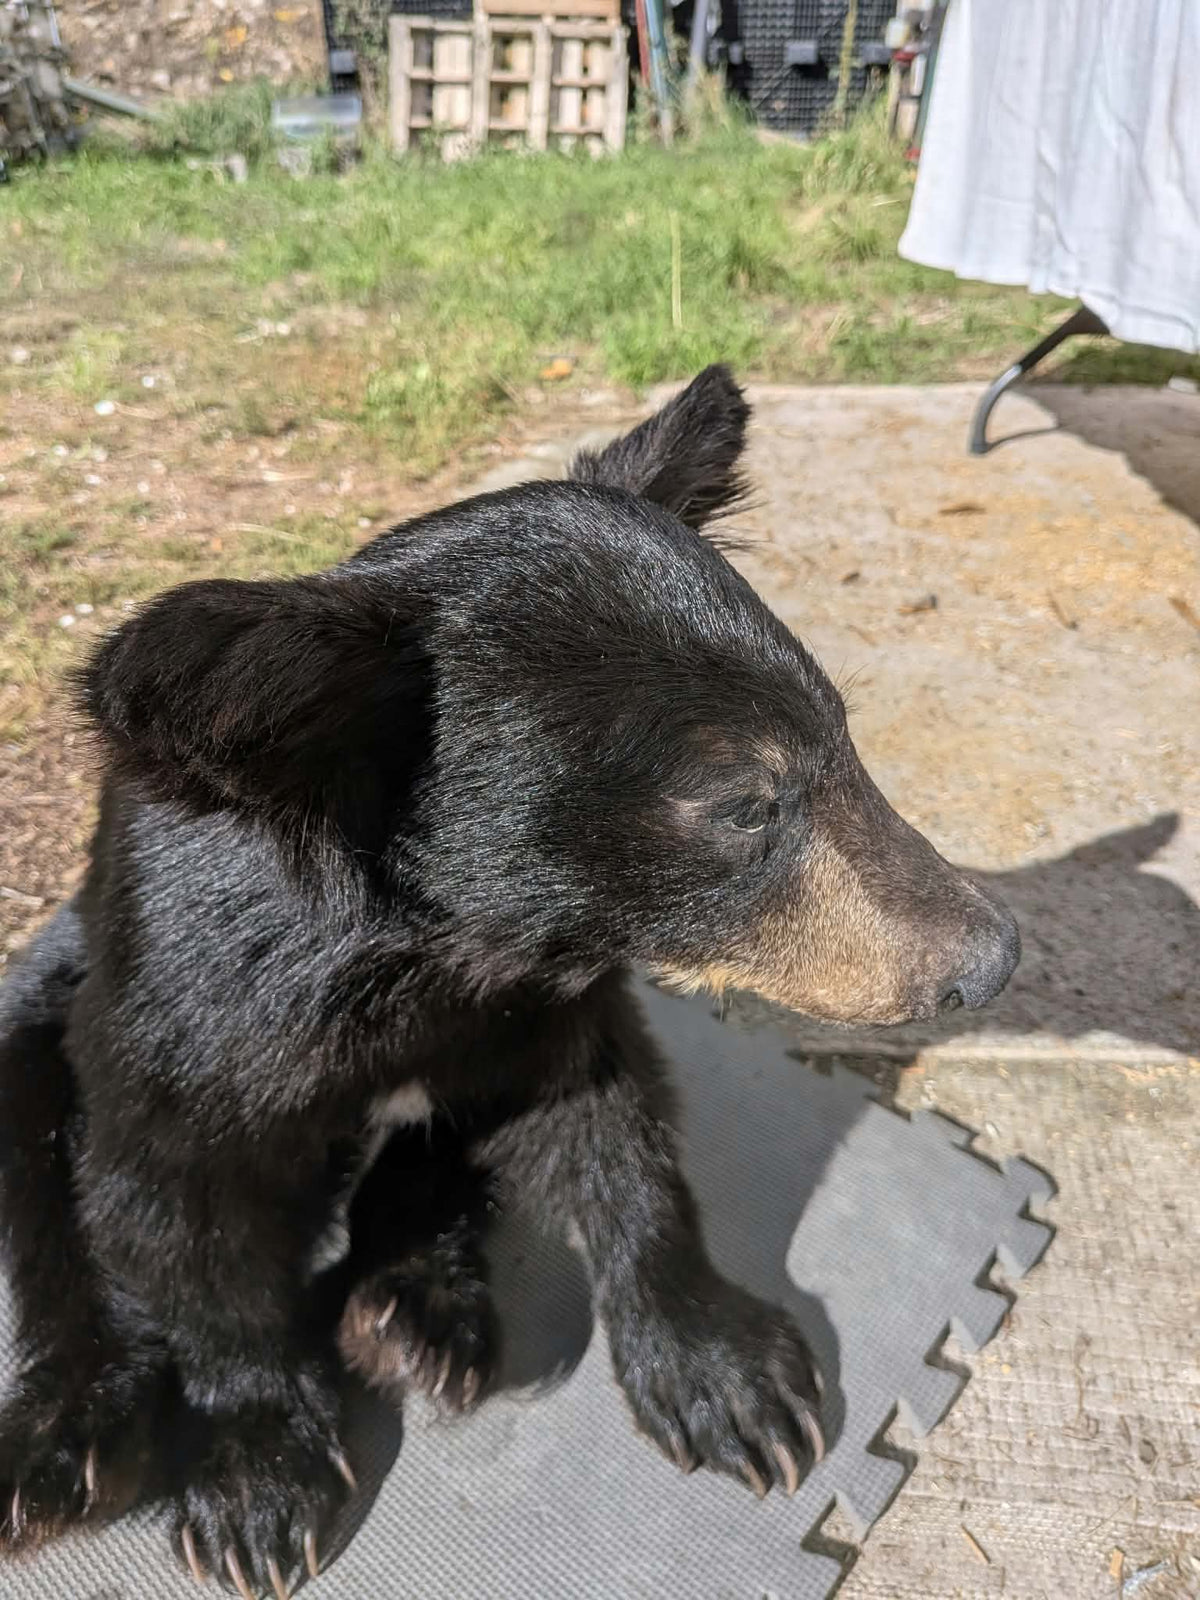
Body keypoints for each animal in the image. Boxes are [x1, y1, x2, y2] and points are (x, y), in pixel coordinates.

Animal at [0, 366, 1018, 1597]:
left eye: (846, 742)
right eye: (743, 803)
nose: (990, 955)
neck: (449, 956)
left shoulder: (543, 1008)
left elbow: (614, 1124)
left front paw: (725, 1369)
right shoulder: (194, 1023)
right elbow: (182, 1217)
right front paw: (258, 1472)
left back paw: (416, 1305)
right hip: (42, 1005)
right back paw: (68, 1439)